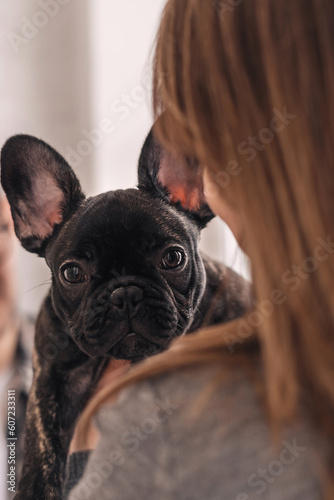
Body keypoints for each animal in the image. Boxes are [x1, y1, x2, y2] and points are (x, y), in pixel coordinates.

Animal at [0, 130, 250, 500]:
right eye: (72, 273)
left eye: (173, 258)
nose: (125, 293)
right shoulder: (51, 373)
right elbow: (41, 447)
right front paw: (35, 488)